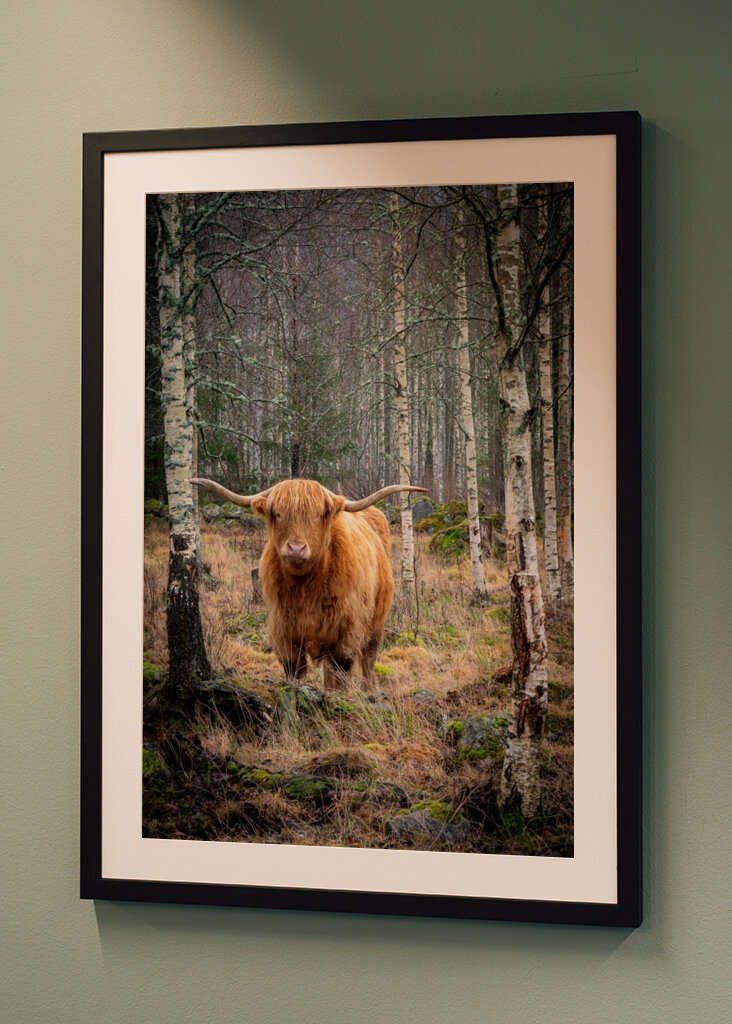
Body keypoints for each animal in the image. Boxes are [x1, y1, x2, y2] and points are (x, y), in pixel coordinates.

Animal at [191, 477, 427, 689]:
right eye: (278, 514)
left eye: (317, 515)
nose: (296, 548)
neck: (307, 587)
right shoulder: (283, 629)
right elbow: (293, 669)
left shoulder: (347, 630)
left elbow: (343, 670)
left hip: (376, 622)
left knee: (368, 658)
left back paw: (369, 691)